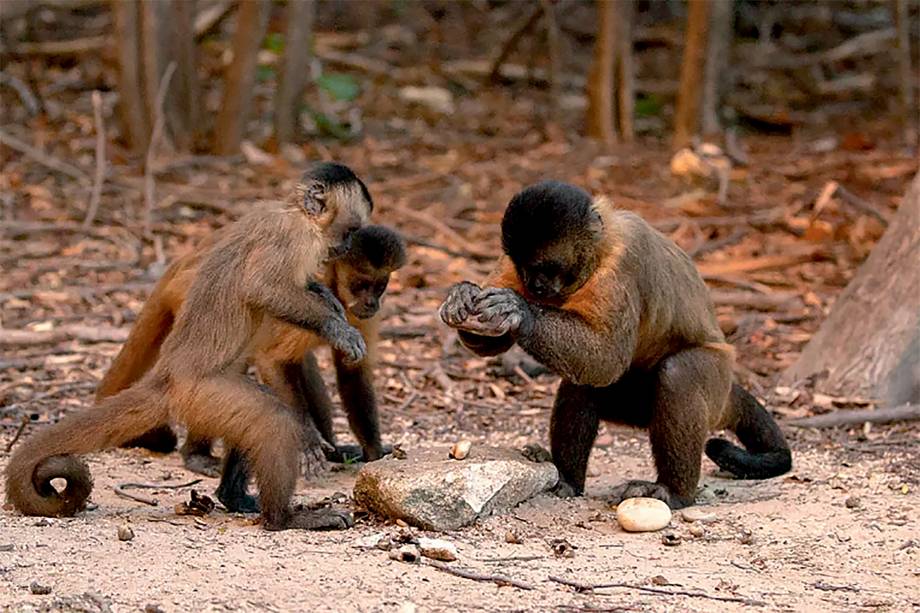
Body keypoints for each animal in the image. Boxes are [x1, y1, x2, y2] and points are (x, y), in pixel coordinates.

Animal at [4, 163, 370, 532]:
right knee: (271, 418)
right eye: (351, 230)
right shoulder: (292, 237)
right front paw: (336, 329)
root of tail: (166, 375)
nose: (346, 246)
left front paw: (326, 299)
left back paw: (234, 498)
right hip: (200, 395)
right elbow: (262, 288)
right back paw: (283, 518)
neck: (295, 213)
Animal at [438, 180, 792, 506]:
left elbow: (606, 361)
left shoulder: (622, 266)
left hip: (714, 383)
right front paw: (463, 296)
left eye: (546, 268)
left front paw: (520, 312)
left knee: (678, 374)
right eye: (524, 267)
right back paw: (567, 480)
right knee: (581, 386)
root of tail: (727, 389)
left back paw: (674, 493)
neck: (601, 248)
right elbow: (496, 342)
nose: (532, 285)